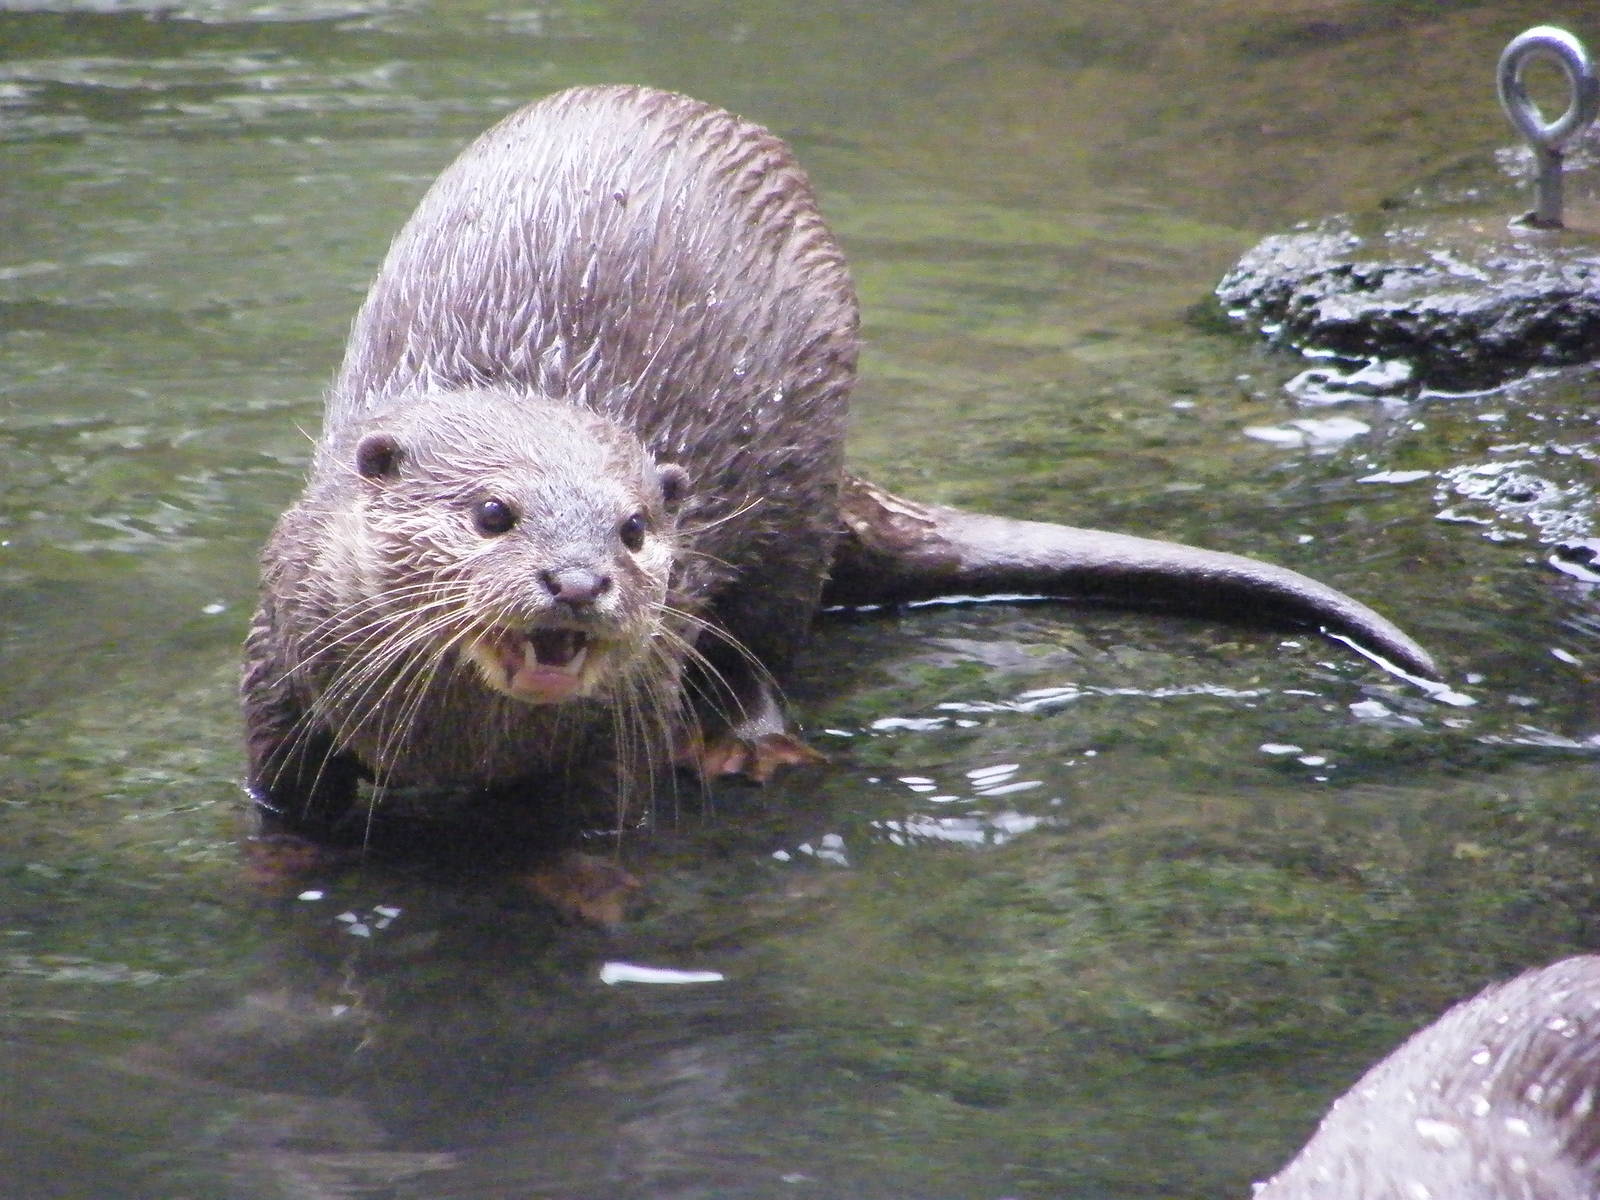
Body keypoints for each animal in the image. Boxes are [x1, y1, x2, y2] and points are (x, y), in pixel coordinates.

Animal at [242, 84, 1437, 840]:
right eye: (493, 514)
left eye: (634, 528)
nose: (578, 581)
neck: (462, 748)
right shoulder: (278, 666)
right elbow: (282, 816)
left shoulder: (622, 731)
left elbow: (585, 844)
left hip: (795, 490)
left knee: (772, 632)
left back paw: (748, 744)